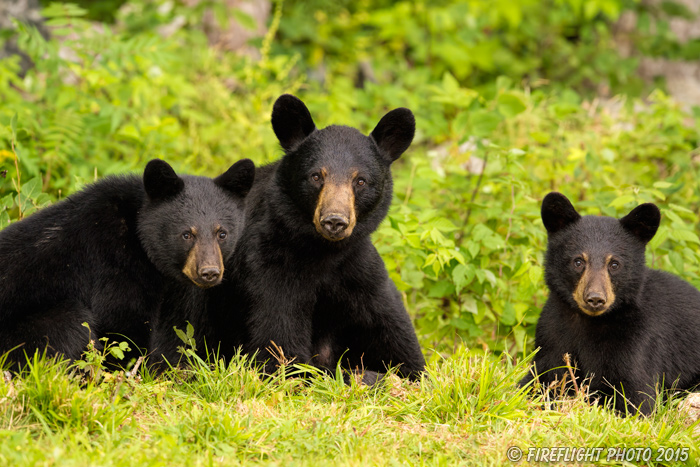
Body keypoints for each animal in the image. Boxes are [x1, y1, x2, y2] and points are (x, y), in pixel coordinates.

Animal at [0, 159, 256, 372]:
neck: (137, 235)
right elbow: (122, 326)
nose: (209, 272)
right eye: (186, 234)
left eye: (222, 233)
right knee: (69, 327)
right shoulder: (114, 264)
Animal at [206, 94, 426, 380]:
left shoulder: (361, 273)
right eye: (315, 176)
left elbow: (401, 343)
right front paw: (369, 377)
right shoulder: (269, 268)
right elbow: (282, 351)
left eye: (361, 181)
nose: (334, 221)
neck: (323, 253)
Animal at [524, 193, 700, 416]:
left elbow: (636, 396)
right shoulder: (553, 333)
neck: (590, 322)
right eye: (578, 261)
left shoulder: (638, 340)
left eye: (614, 264)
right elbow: (540, 376)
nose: (595, 298)